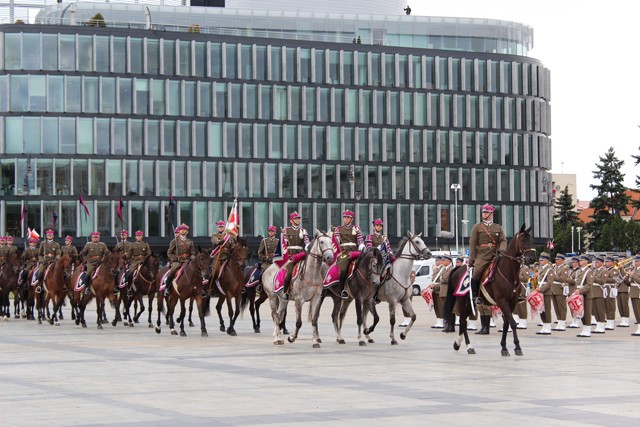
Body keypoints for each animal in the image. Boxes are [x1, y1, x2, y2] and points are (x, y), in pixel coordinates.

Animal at [444, 224, 536, 358]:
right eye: (523, 240)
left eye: (532, 240)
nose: (532, 258)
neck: (509, 272)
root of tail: (458, 268)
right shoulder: (502, 301)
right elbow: (513, 323)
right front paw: (517, 347)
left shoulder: (512, 302)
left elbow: (507, 323)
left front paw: (504, 347)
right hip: (462, 300)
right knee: (462, 321)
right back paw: (469, 346)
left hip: (470, 305)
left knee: (463, 321)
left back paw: (457, 344)